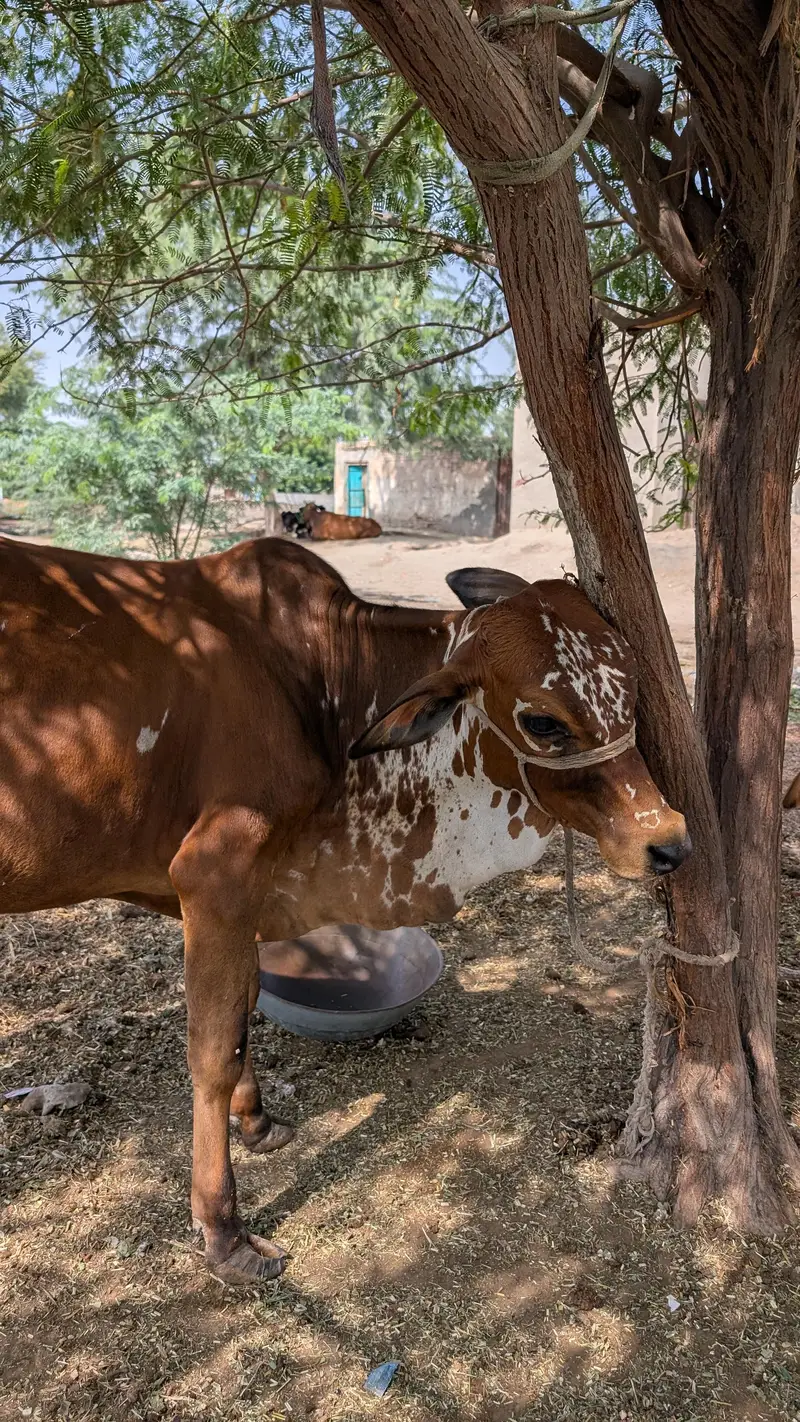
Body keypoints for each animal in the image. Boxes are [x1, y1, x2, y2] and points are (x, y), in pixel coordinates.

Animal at [0, 536, 690, 1285]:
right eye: (543, 721)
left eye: (633, 696)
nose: (667, 841)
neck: (320, 681)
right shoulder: (215, 878)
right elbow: (214, 1051)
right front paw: (223, 1230)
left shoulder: (251, 890)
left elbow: (246, 1008)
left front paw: (257, 1122)